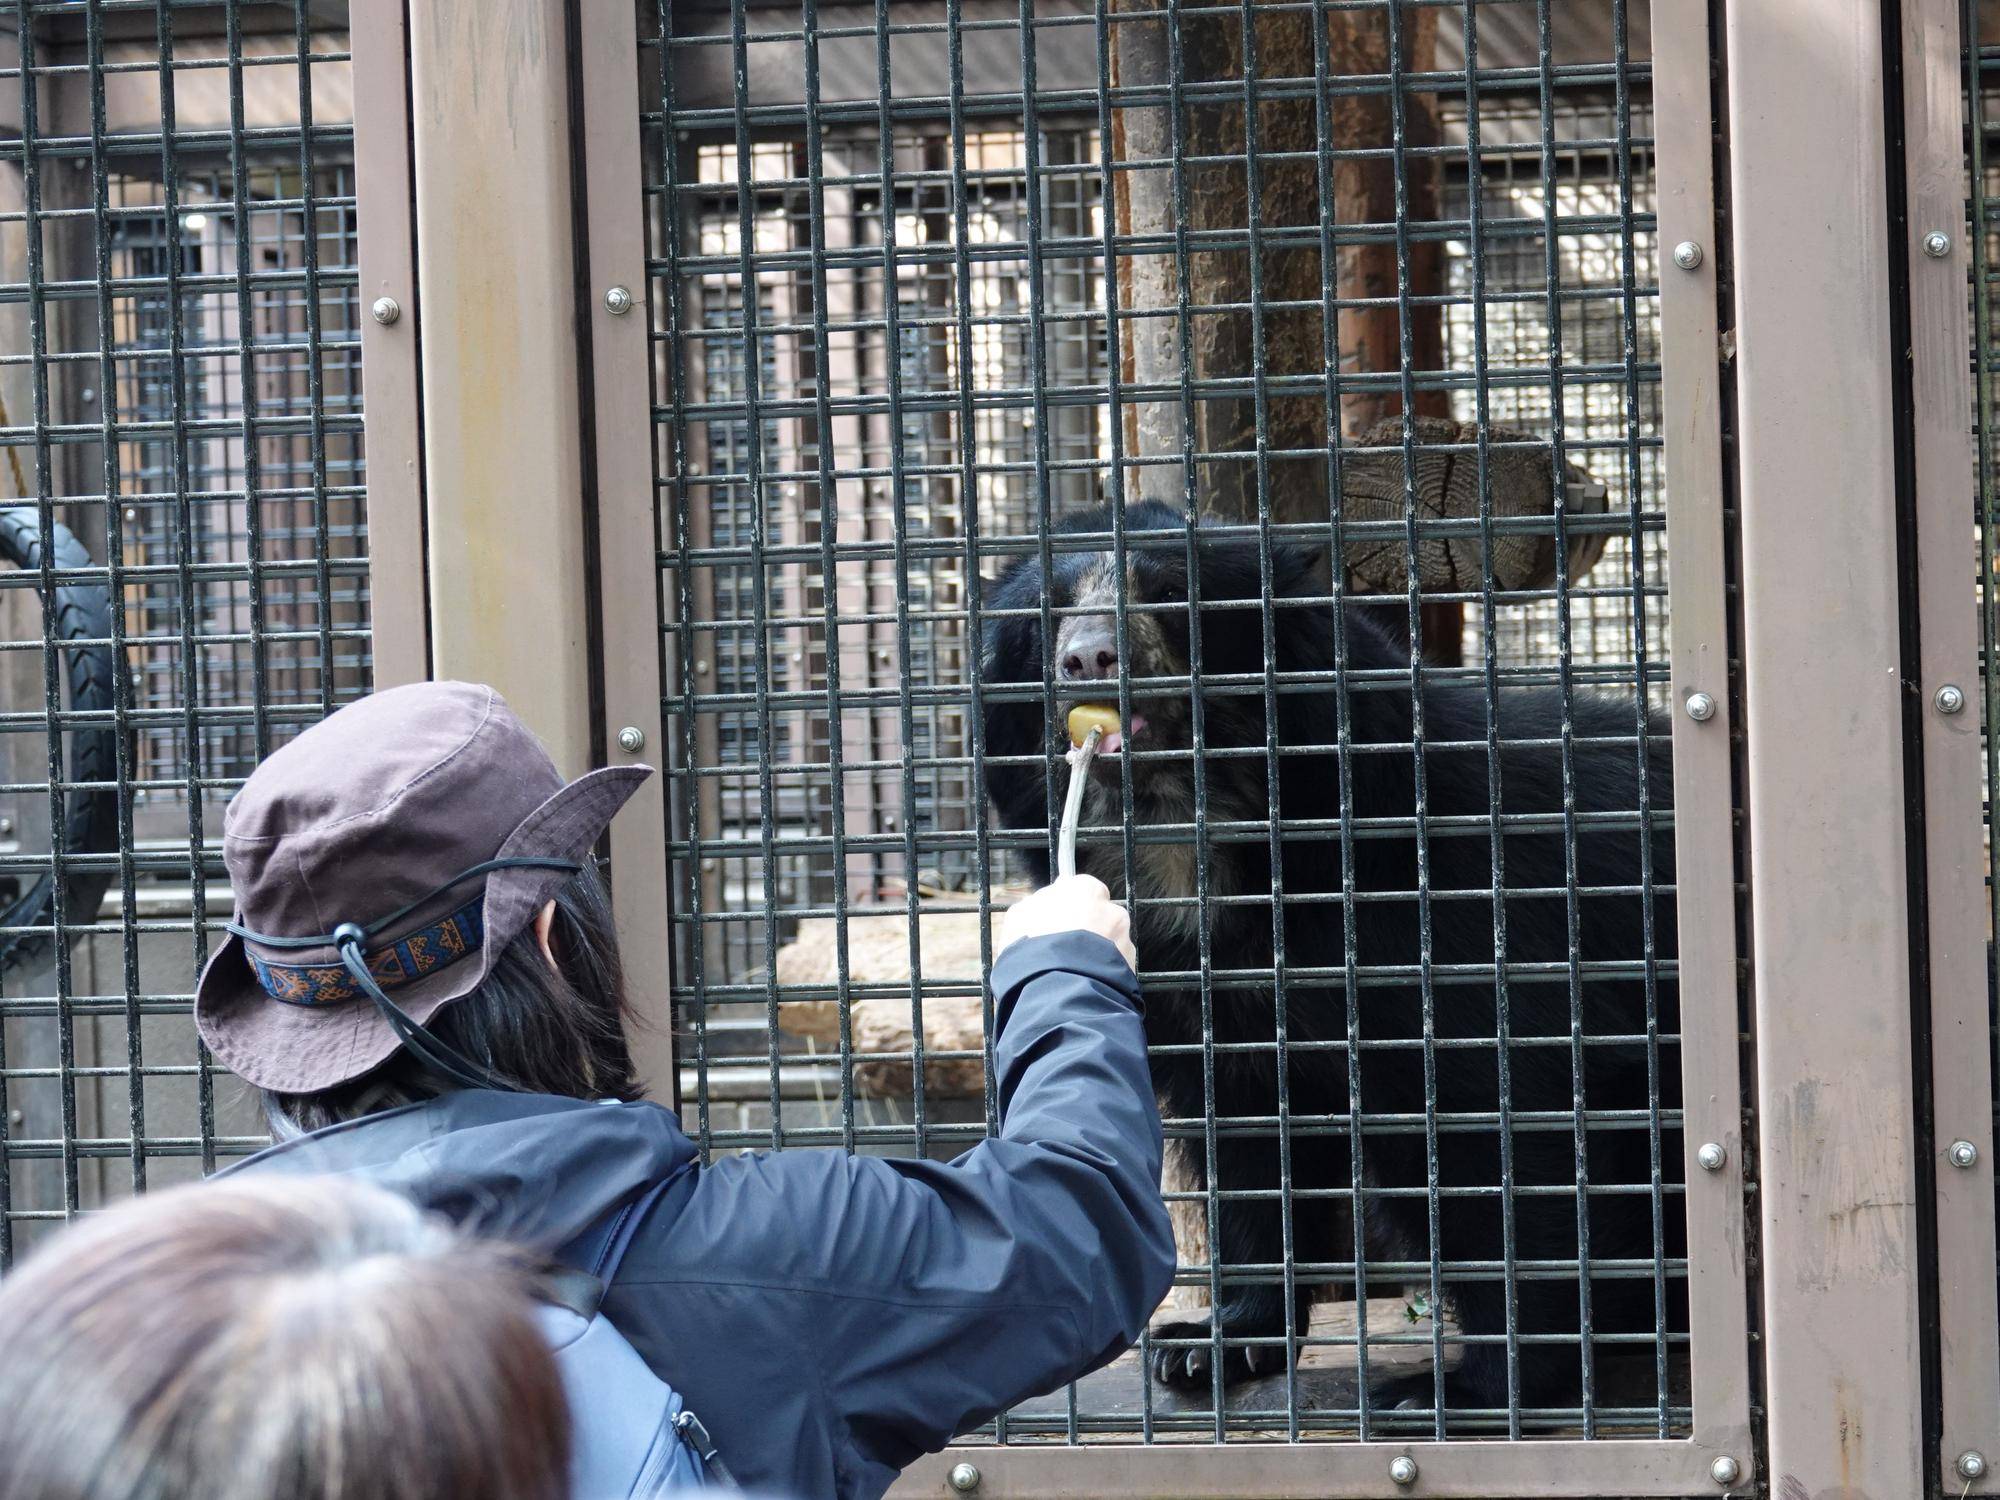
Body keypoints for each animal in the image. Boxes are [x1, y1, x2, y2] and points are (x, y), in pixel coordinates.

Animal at [976, 502, 1680, 1424]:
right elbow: (1249, 1152)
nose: (1089, 656)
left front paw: (1465, 1388)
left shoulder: (1468, 938)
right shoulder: (1207, 1004)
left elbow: (1509, 1147)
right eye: (1048, 612)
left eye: (1169, 593)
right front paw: (1211, 1344)